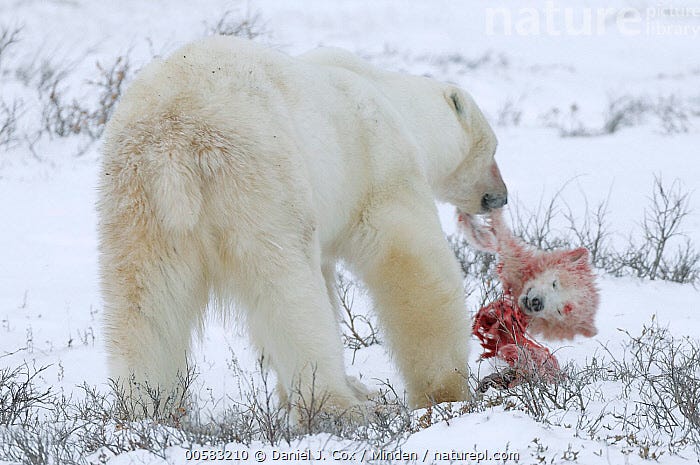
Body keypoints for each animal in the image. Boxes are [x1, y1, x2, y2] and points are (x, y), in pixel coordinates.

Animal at [97, 36, 507, 417]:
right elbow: (416, 266)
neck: (387, 95)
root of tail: (174, 143)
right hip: (259, 179)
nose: (500, 197)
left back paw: (145, 410)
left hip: (135, 200)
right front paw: (446, 393)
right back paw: (339, 406)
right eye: (493, 150)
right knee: (289, 292)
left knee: (144, 305)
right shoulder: (379, 166)